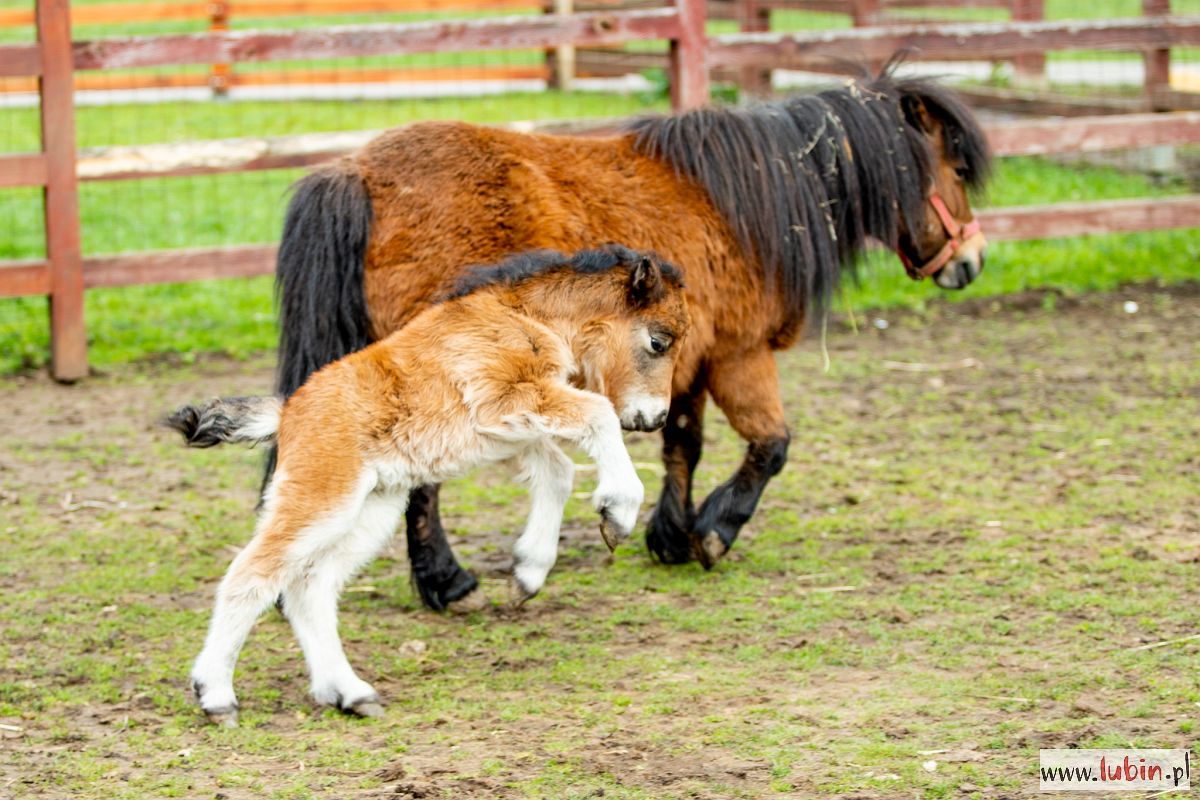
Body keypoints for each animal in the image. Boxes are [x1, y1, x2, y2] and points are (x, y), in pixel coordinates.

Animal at [272, 64, 993, 614]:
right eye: (956, 168)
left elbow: (683, 442)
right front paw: (714, 531)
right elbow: (771, 445)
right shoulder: (739, 354)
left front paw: (672, 535)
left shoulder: (685, 359)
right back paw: (447, 583)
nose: (972, 261)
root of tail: (358, 173)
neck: (743, 203)